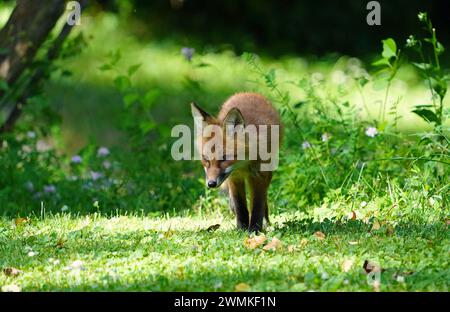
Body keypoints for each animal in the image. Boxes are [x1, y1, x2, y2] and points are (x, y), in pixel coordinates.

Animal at [191, 91, 284, 233]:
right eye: (206, 159)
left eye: (224, 158)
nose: (211, 184)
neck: (243, 165)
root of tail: (248, 93)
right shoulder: (234, 178)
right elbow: (240, 205)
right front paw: (242, 228)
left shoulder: (260, 176)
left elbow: (257, 204)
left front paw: (255, 229)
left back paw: (266, 221)